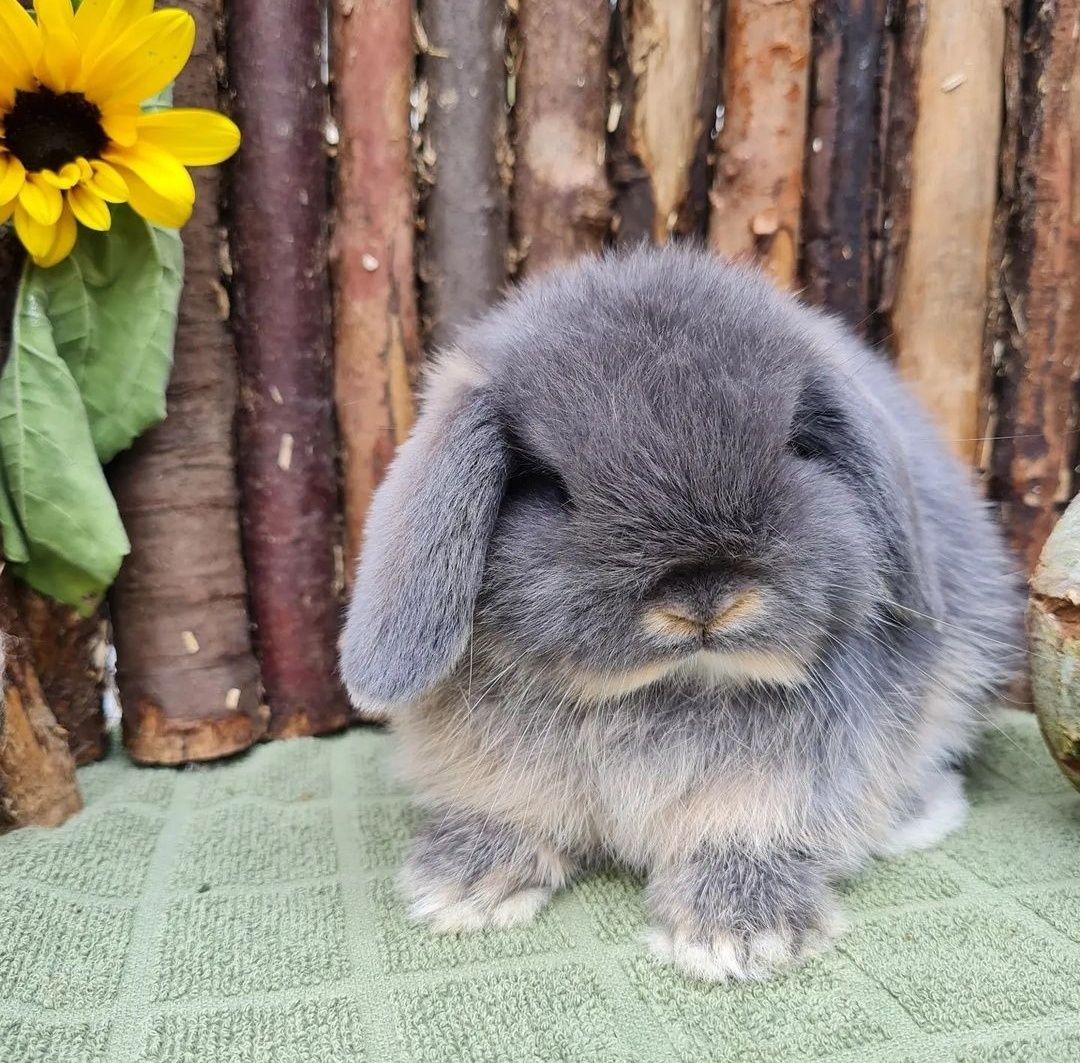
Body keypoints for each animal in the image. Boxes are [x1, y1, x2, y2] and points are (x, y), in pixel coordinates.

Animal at [336, 245, 1019, 985]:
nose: (702, 597)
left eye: (795, 447)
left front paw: (738, 933)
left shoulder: (786, 782)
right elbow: (510, 810)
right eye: (550, 485)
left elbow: (749, 828)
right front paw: (463, 885)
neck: (665, 689)